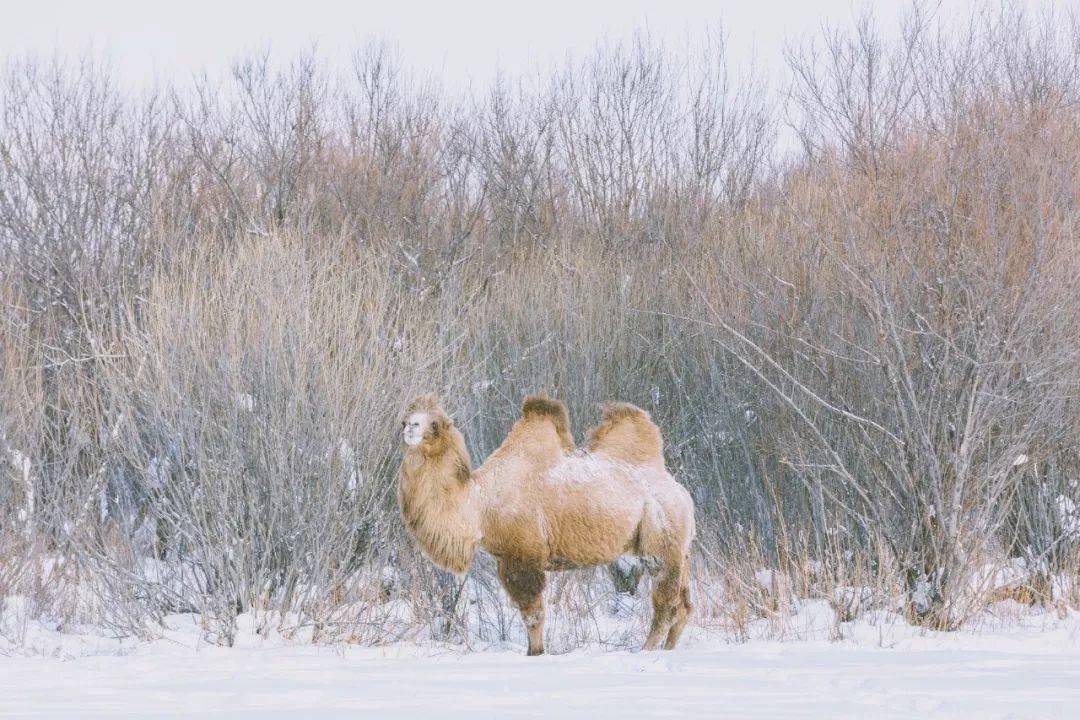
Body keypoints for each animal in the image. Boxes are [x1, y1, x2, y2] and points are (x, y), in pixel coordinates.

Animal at [395, 390, 691, 656]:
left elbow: (533, 614)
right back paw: (669, 650)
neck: (480, 504)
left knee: (666, 604)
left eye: (435, 423)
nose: (409, 426)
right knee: (685, 604)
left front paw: (536, 654)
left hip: (662, 538)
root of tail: (680, 491)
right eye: (407, 417)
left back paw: (646, 650)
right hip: (680, 548)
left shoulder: (522, 557)